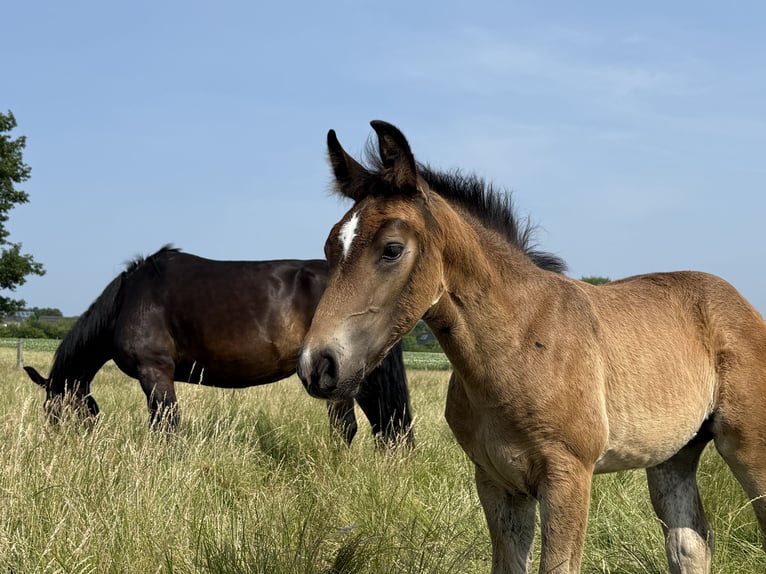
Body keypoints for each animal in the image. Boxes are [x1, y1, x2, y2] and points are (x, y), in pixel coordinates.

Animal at [24, 246, 414, 447]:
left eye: (54, 410)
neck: (128, 301)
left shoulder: (155, 373)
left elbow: (165, 426)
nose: (59, 445)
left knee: (348, 428)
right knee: (385, 425)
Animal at [296, 120, 766, 573]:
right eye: (330, 247)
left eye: (392, 250)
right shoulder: (496, 481)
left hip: (748, 446)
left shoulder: (568, 476)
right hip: (674, 454)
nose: (317, 365)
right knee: (690, 544)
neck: (516, 345)